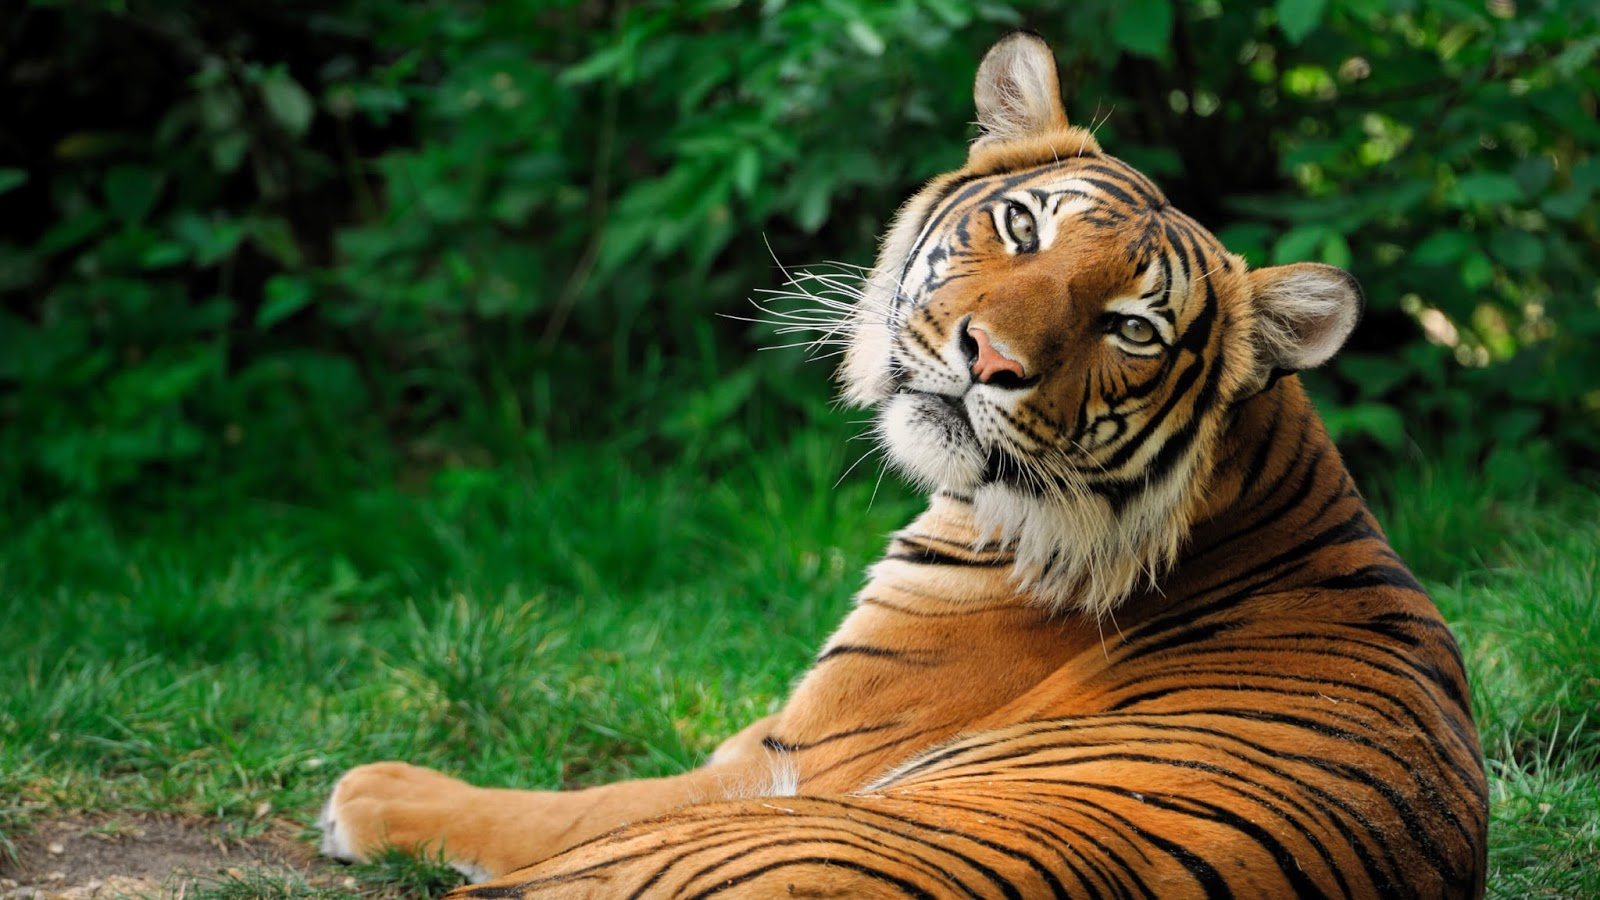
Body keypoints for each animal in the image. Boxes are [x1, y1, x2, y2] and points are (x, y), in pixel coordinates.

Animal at [318, 32, 1488, 898]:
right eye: (1021, 225)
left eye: (1132, 329)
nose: (991, 360)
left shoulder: (795, 759)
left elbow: (560, 805)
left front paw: (371, 793)